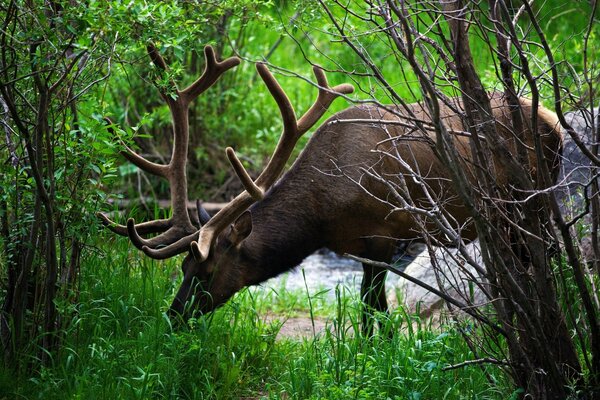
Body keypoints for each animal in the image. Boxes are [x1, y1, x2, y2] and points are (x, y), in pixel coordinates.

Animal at [98, 44, 564, 332]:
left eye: (206, 271)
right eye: (182, 269)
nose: (173, 317)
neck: (322, 216)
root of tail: (552, 120)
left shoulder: (383, 234)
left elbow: (372, 309)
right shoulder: (357, 246)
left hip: (531, 202)